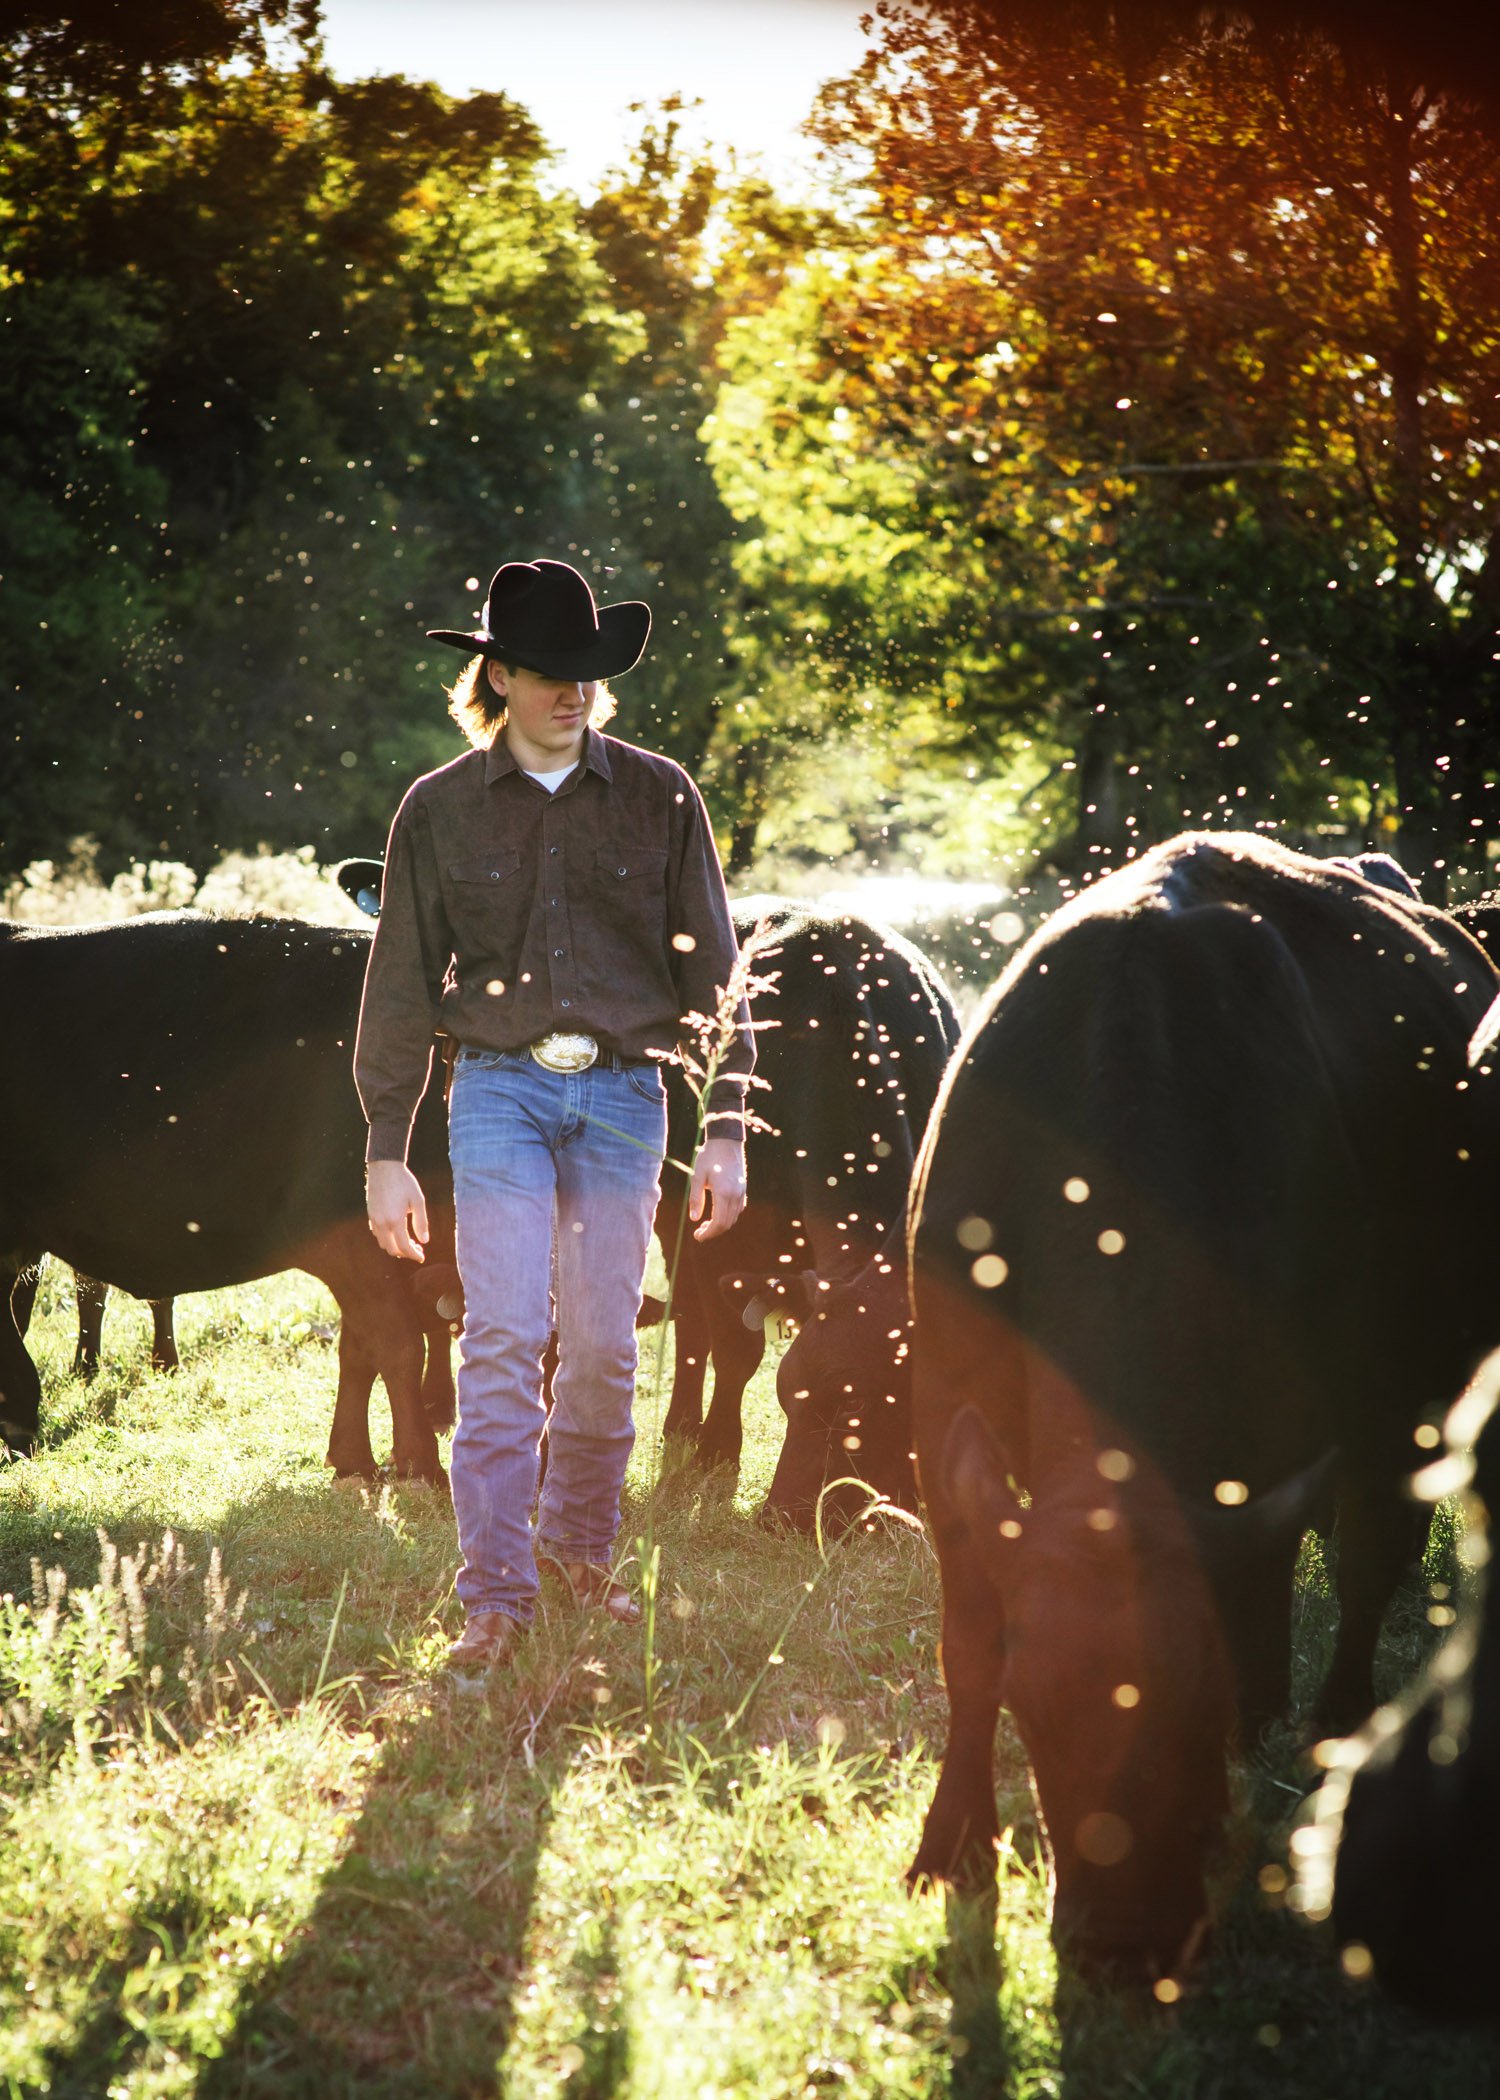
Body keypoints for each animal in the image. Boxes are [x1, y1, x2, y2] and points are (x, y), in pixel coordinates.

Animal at [655, 902, 957, 1511]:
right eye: (789, 1392)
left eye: (856, 1403)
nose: (783, 1515)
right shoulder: (722, 1237)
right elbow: (736, 1350)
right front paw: (718, 1452)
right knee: (690, 1324)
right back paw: (683, 1426)